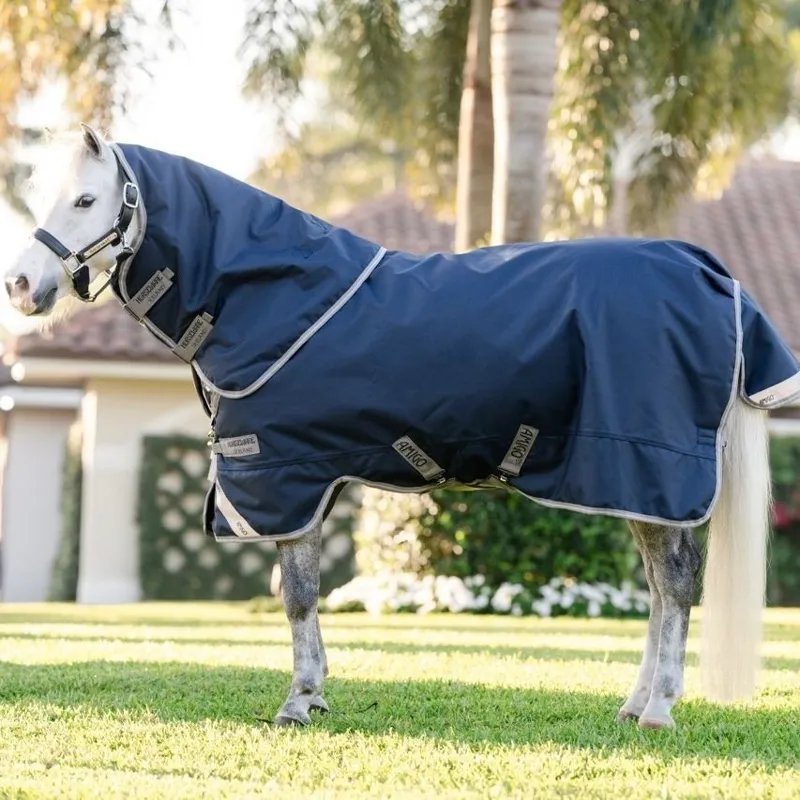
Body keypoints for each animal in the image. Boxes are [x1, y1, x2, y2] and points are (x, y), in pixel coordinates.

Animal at [5, 124, 794, 731]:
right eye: (43, 197)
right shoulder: (304, 482)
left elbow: (296, 596)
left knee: (677, 587)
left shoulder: (285, 479)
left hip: (650, 472)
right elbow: (303, 593)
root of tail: (709, 271)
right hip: (633, 486)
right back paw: (634, 706)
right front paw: (314, 696)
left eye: (85, 199)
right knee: (661, 589)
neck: (269, 297)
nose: (20, 286)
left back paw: (658, 710)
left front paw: (299, 702)